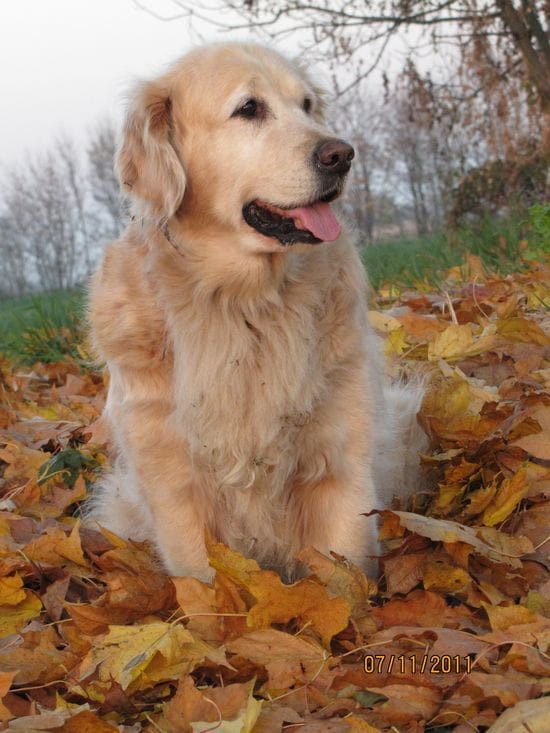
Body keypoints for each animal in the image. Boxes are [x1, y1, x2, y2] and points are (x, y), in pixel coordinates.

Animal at [88, 41, 430, 576]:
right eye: (249, 108)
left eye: (307, 105)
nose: (342, 154)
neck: (242, 304)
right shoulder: (172, 483)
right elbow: (204, 584)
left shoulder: (341, 461)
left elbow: (345, 570)